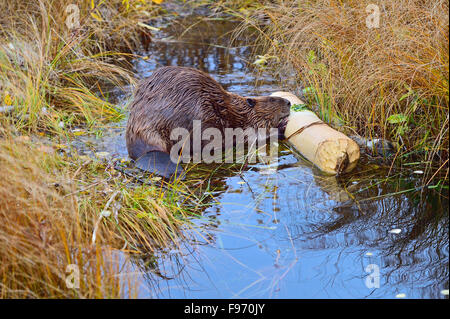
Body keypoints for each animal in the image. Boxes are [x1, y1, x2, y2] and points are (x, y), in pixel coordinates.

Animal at [125, 66, 292, 179]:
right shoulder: (240, 126)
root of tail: (145, 152)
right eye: (273, 99)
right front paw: (282, 126)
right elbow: (254, 137)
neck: (236, 111)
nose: (289, 102)